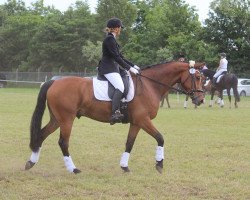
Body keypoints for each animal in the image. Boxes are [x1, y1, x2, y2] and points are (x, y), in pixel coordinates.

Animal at [24, 61, 205, 173]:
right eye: (197, 77)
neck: (149, 85)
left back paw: (31, 163)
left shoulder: (136, 123)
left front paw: (124, 166)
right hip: (67, 119)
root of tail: (54, 82)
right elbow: (160, 138)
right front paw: (159, 164)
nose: (201, 100)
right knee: (63, 142)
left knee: (41, 135)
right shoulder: (143, 120)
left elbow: (129, 143)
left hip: (57, 119)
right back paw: (73, 169)